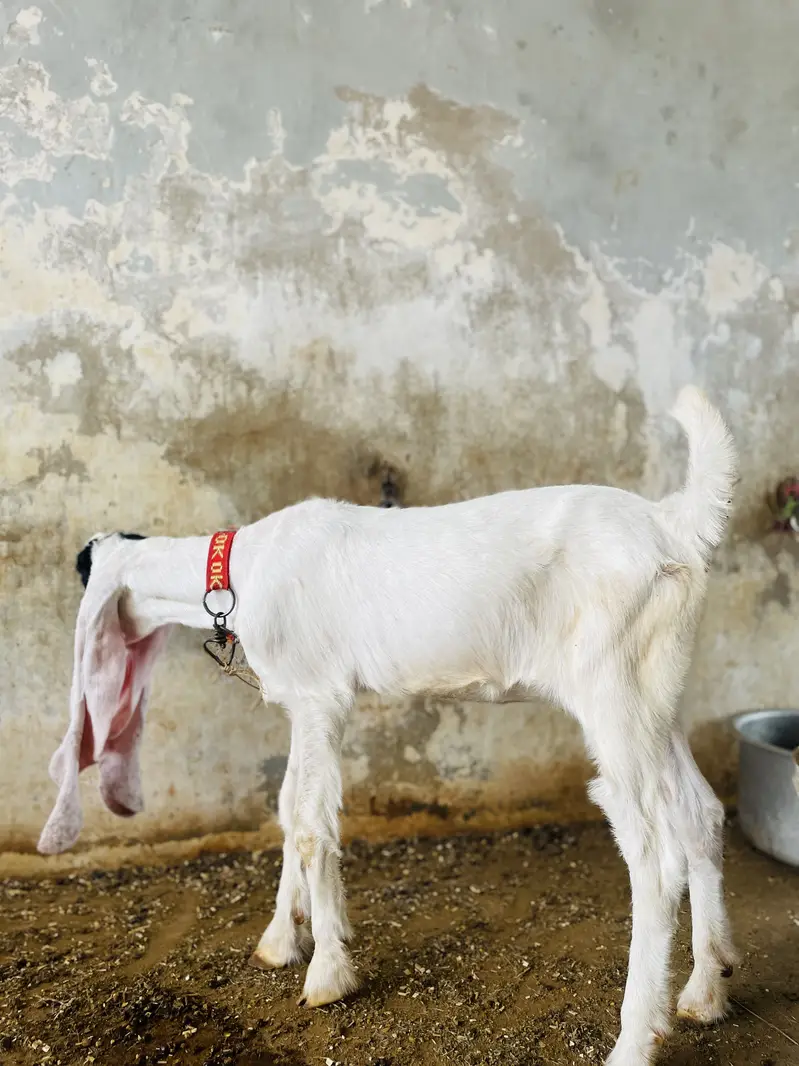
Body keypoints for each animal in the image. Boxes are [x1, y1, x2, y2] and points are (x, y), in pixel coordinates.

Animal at [38, 386, 737, 1066]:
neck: (244, 570)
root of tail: (673, 524)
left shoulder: (320, 698)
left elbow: (311, 826)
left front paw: (326, 973)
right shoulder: (305, 705)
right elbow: (289, 808)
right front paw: (283, 939)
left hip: (612, 692)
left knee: (654, 855)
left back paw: (635, 1039)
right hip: (656, 698)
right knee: (700, 813)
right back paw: (706, 990)